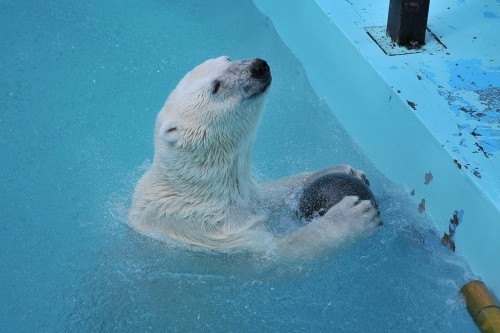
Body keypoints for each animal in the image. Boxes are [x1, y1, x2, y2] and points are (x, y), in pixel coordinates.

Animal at [128, 55, 378, 258]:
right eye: (216, 87)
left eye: (227, 58)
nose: (258, 66)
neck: (199, 190)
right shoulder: (213, 233)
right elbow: (282, 250)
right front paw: (353, 215)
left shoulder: (244, 199)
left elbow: (271, 196)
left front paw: (346, 170)